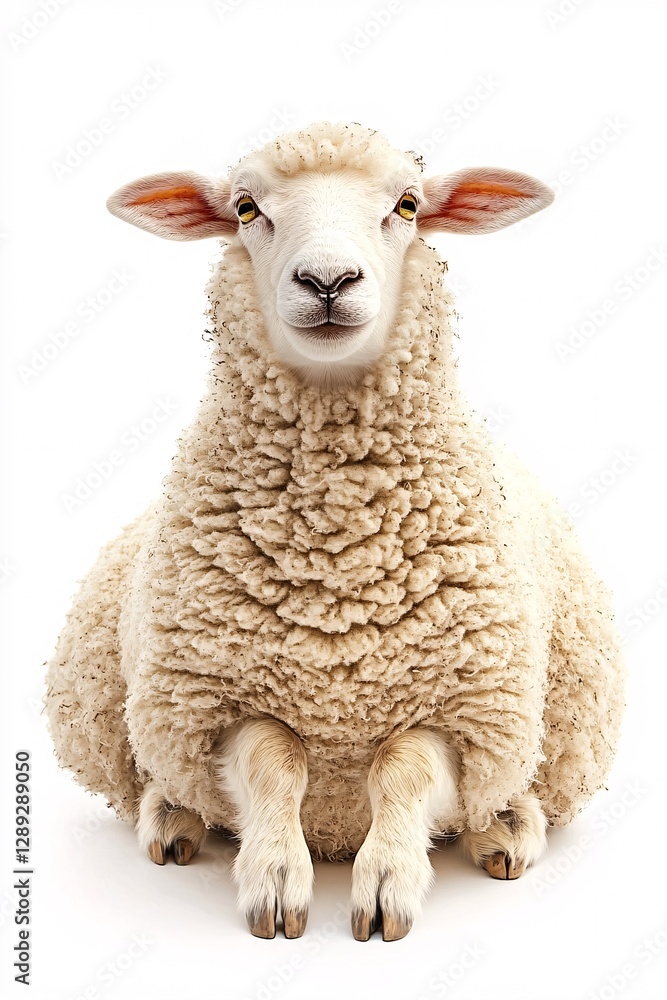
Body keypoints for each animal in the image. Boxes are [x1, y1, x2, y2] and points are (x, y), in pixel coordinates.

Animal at [45, 121, 625, 942]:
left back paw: (507, 828)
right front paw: (273, 880)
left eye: (407, 204)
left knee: (506, 791)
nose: (327, 282)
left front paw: (386, 884)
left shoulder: (463, 711)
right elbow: (275, 761)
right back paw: (172, 821)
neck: (337, 559)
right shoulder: (213, 706)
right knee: (163, 781)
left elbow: (403, 768)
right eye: (246, 208)